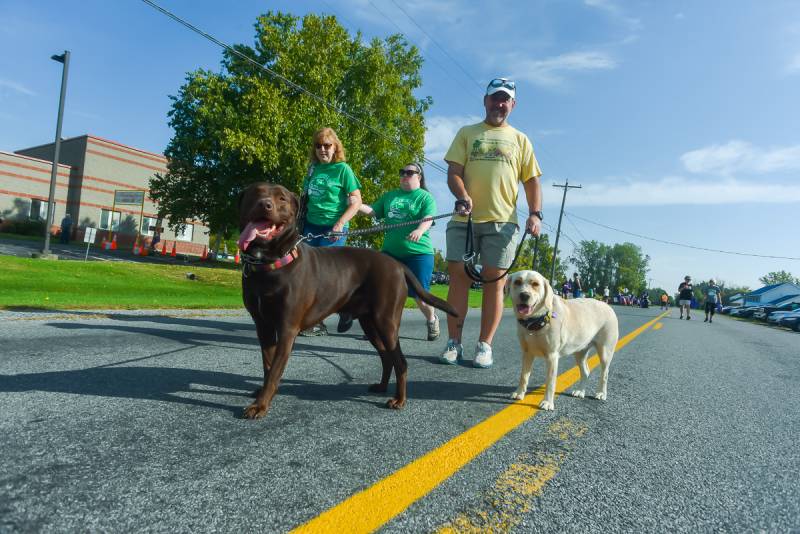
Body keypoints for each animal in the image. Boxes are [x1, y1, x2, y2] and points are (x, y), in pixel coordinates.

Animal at [506, 270, 620, 412]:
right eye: (517, 282)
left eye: (535, 284)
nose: (524, 295)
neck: (536, 321)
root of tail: (608, 306)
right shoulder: (527, 353)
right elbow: (524, 376)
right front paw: (519, 393)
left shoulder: (552, 356)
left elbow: (550, 382)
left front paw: (547, 402)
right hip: (580, 353)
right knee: (586, 372)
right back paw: (580, 391)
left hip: (605, 351)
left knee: (605, 374)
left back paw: (601, 393)